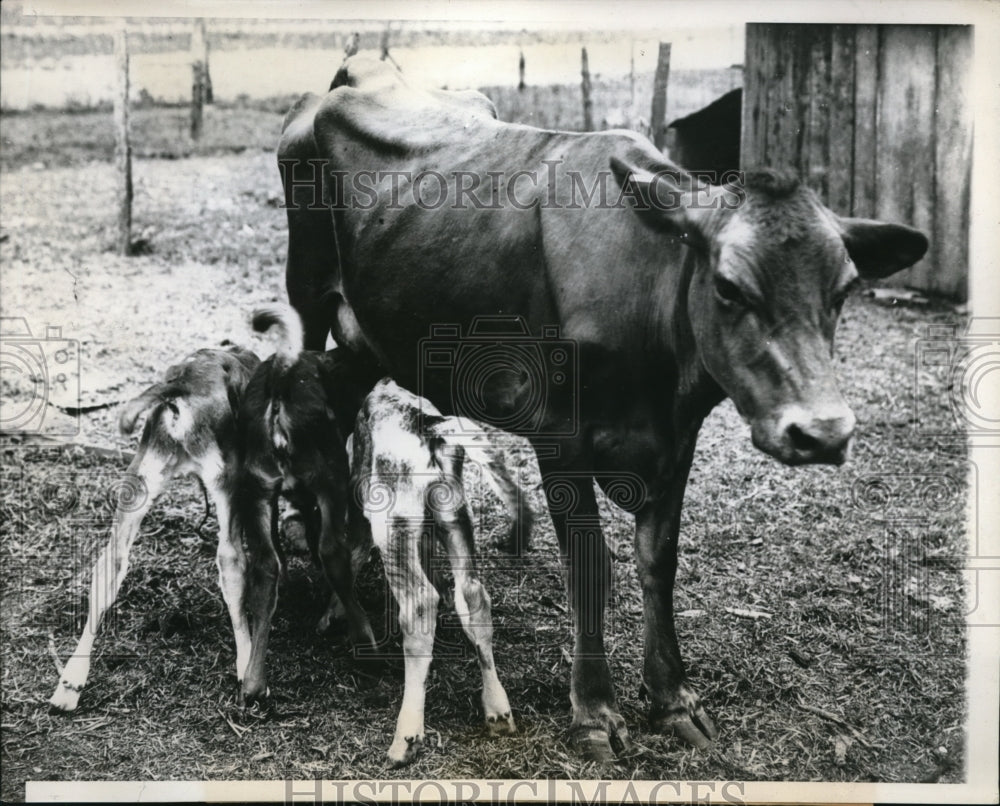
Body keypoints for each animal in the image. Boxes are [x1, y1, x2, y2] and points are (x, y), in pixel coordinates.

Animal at [273, 55, 929, 761]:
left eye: (844, 290)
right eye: (729, 287)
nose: (823, 433)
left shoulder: (679, 439)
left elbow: (657, 561)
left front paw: (672, 699)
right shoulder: (560, 438)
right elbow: (589, 568)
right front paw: (594, 712)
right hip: (307, 299)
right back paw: (340, 601)